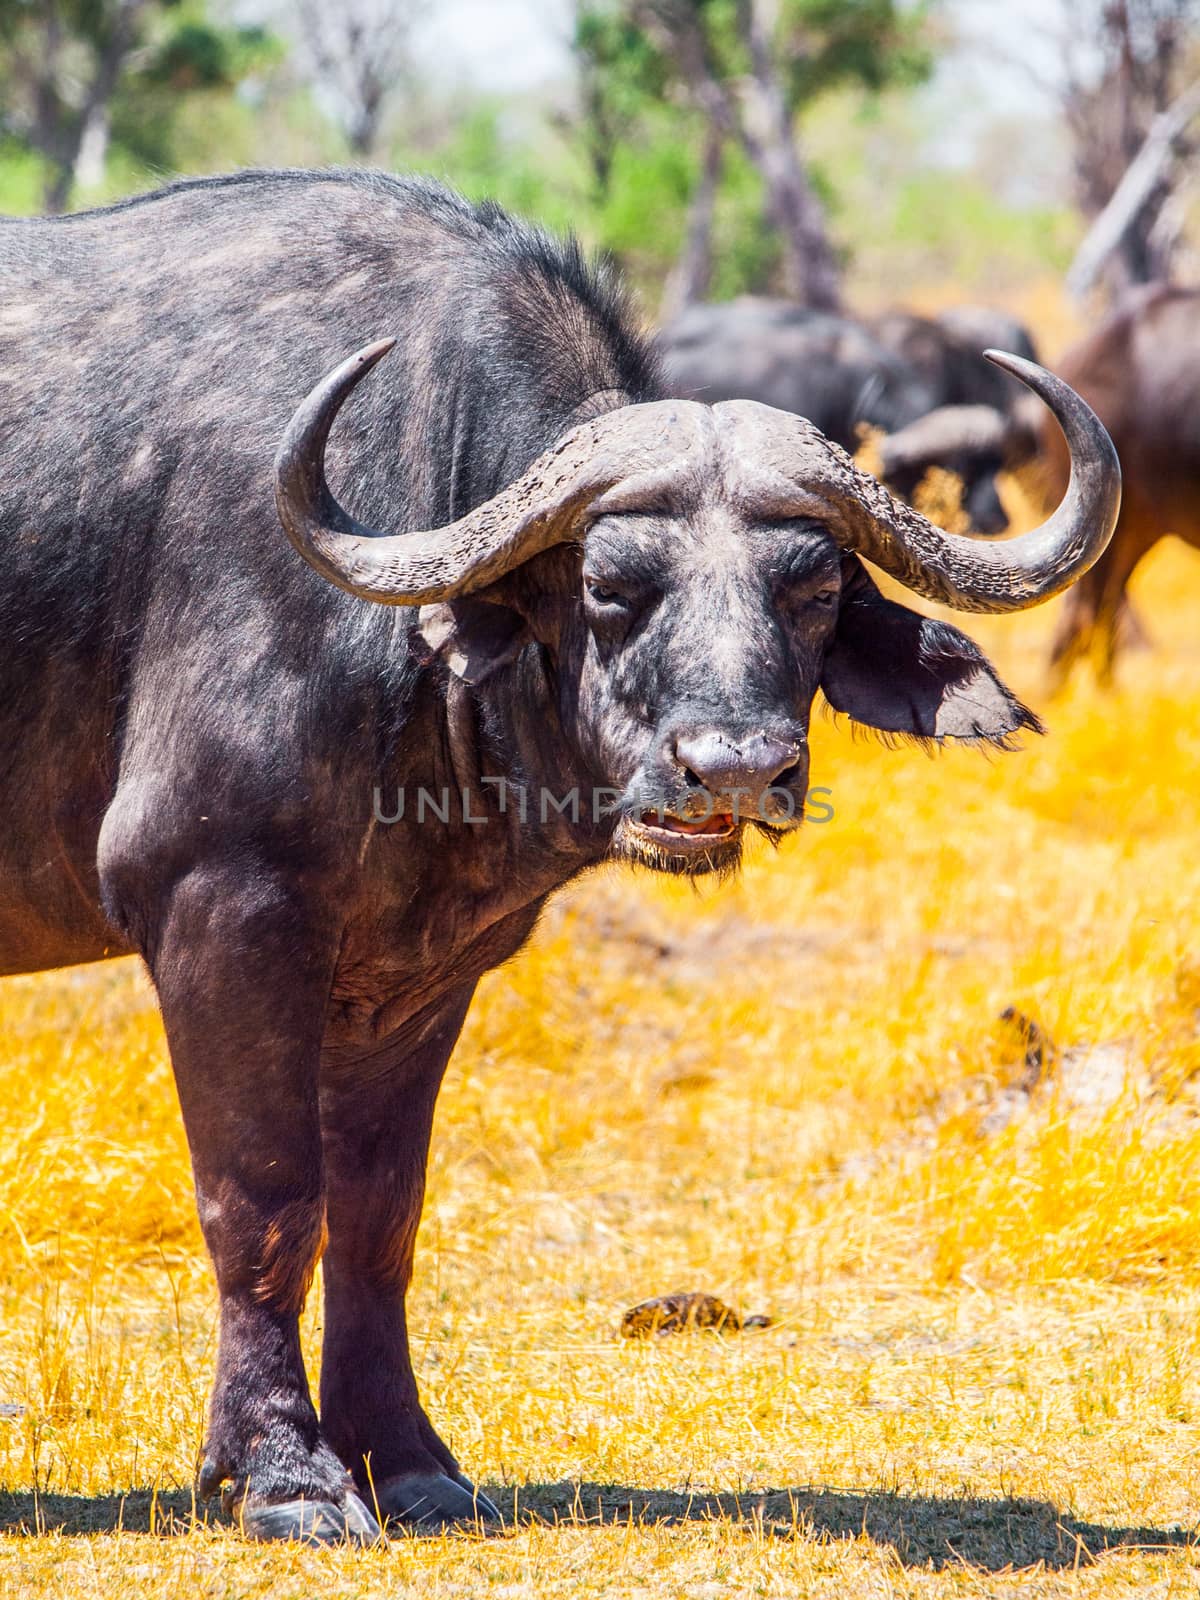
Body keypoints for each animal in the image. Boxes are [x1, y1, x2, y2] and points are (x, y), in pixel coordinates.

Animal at [0, 168, 1126, 1542]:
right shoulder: (221, 904)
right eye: (610, 584)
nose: (733, 768)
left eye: (811, 587)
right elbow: (262, 1200)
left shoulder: (414, 974)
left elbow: (378, 1211)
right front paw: (283, 1473)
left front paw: (405, 1458)